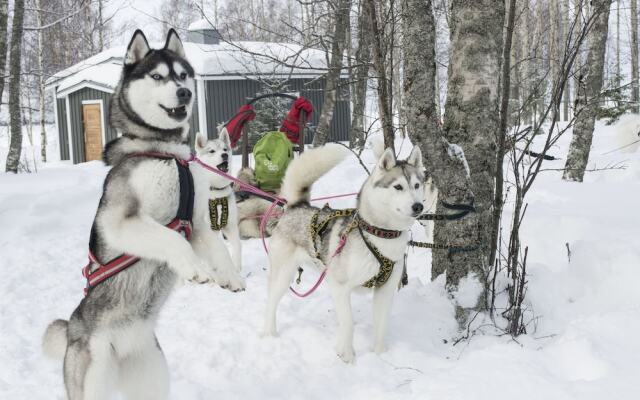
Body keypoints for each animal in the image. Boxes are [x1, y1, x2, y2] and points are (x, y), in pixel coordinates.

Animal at [192, 131, 242, 272]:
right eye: (212, 151)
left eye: (225, 149)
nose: (224, 155)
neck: (216, 192)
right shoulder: (209, 229)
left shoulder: (230, 226)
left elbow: (237, 246)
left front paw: (237, 268)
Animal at [262, 143, 428, 362]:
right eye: (398, 187)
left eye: (417, 185)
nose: (418, 206)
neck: (380, 235)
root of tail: (297, 206)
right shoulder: (340, 287)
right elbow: (348, 323)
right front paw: (347, 356)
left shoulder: (385, 291)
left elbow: (381, 326)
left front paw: (379, 355)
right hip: (283, 276)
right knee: (271, 303)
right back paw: (269, 333)